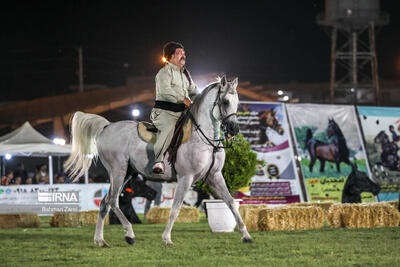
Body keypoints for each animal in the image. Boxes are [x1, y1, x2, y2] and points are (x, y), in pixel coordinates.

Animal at [65, 75, 253, 247]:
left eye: (237, 102)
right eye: (225, 101)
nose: (234, 129)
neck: (203, 138)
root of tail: (107, 126)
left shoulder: (215, 176)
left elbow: (231, 203)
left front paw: (246, 236)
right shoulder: (186, 178)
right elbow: (175, 208)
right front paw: (167, 238)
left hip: (127, 173)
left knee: (105, 203)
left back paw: (100, 240)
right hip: (117, 171)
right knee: (113, 201)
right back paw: (129, 234)